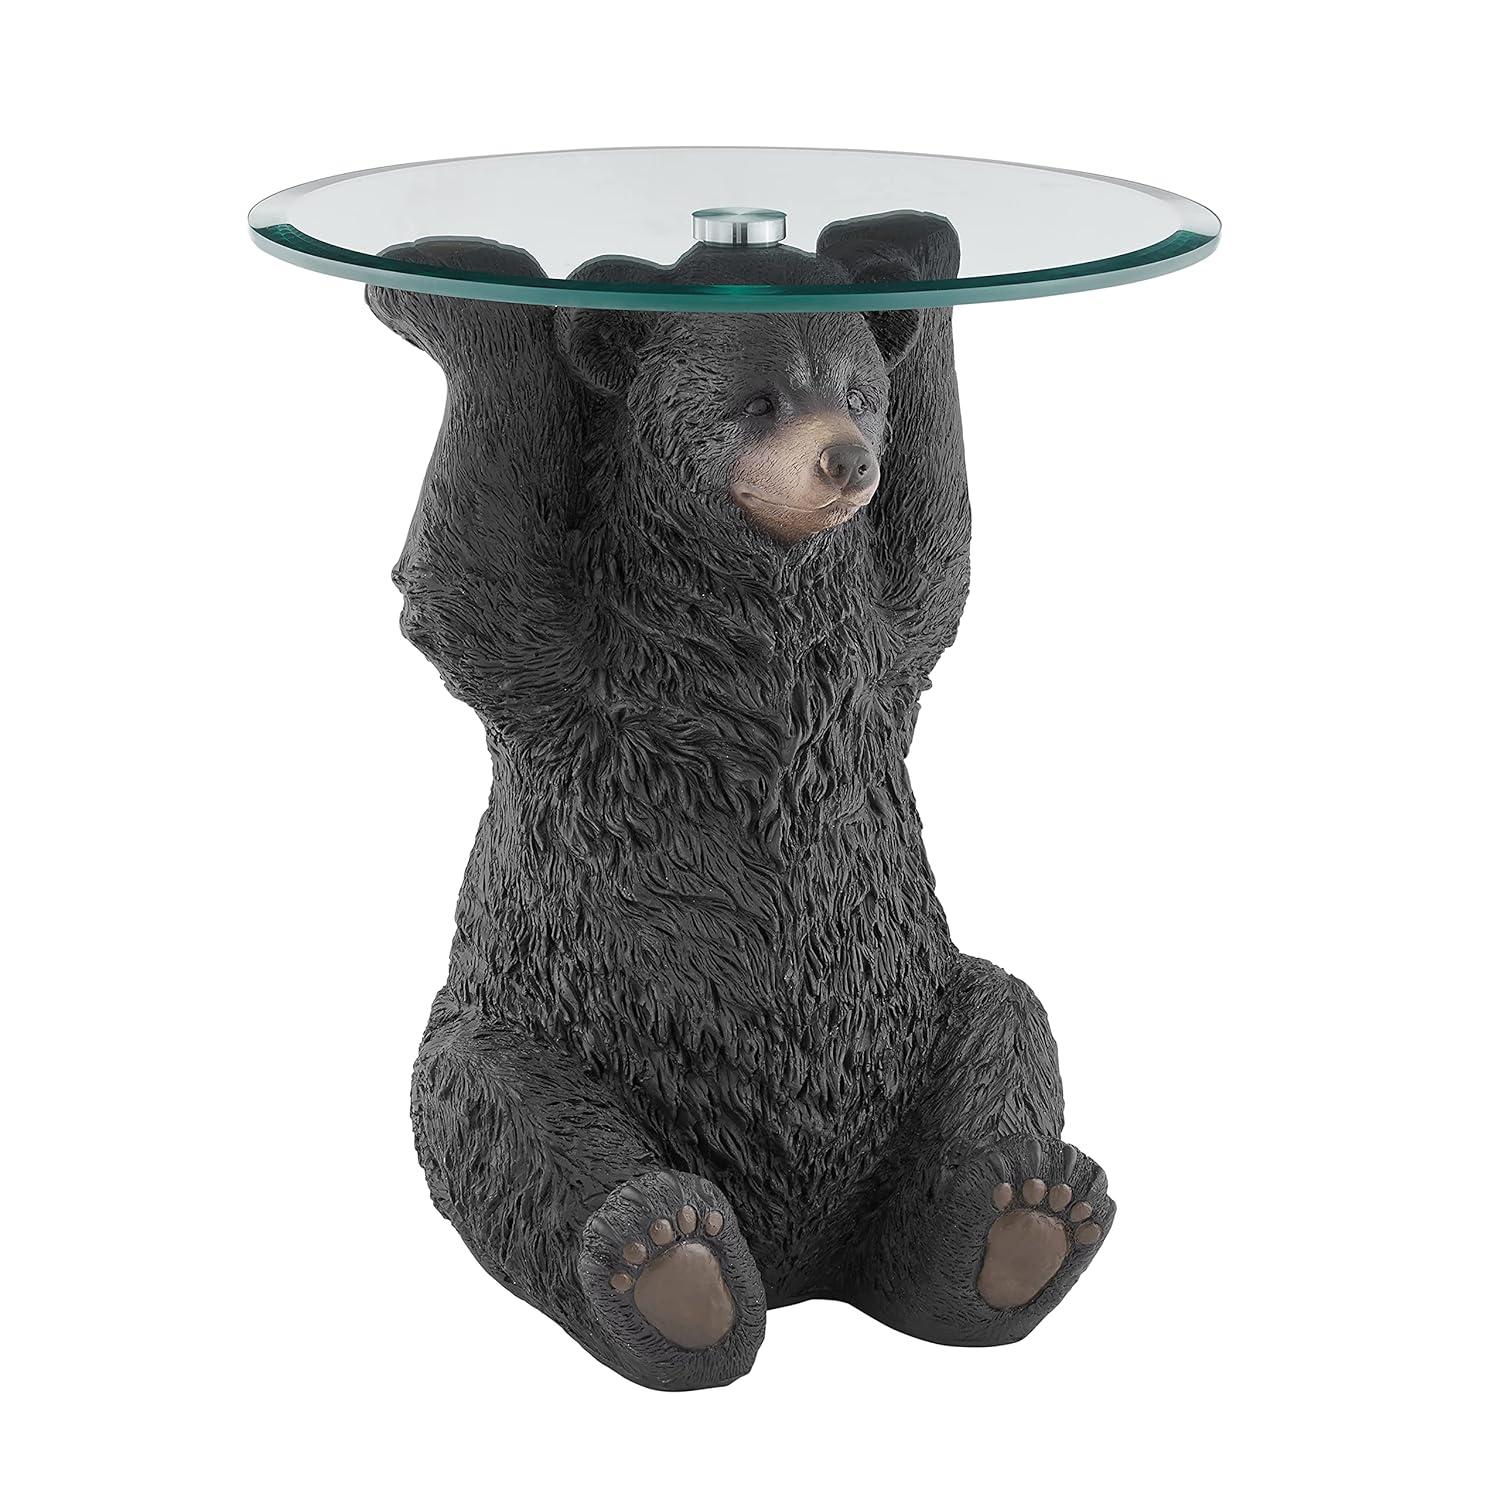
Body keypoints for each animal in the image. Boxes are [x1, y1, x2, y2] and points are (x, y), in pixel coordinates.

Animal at [365, 212, 1113, 1391]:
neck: (754, 627)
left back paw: (1015, 1218)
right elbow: (473, 570)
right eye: (756, 400)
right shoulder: (592, 680)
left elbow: (934, 546)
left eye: (859, 393)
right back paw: (669, 1266)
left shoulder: (874, 667)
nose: (845, 457)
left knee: (1007, 1021)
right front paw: (458, 286)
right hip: (533, 1033)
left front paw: (907, 249)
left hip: (928, 1008)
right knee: (494, 1110)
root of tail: (798, 1262)